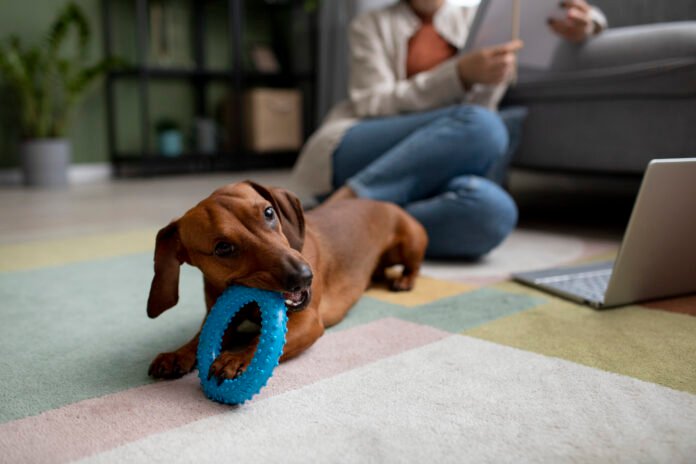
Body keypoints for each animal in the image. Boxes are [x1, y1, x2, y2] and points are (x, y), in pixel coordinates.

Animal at [147, 179, 426, 382]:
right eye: (222, 248)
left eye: (269, 212)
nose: (304, 276)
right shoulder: (220, 315)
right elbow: (199, 338)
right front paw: (177, 354)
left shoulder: (308, 322)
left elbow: (262, 340)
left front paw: (236, 357)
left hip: (409, 244)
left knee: (414, 266)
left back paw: (405, 280)